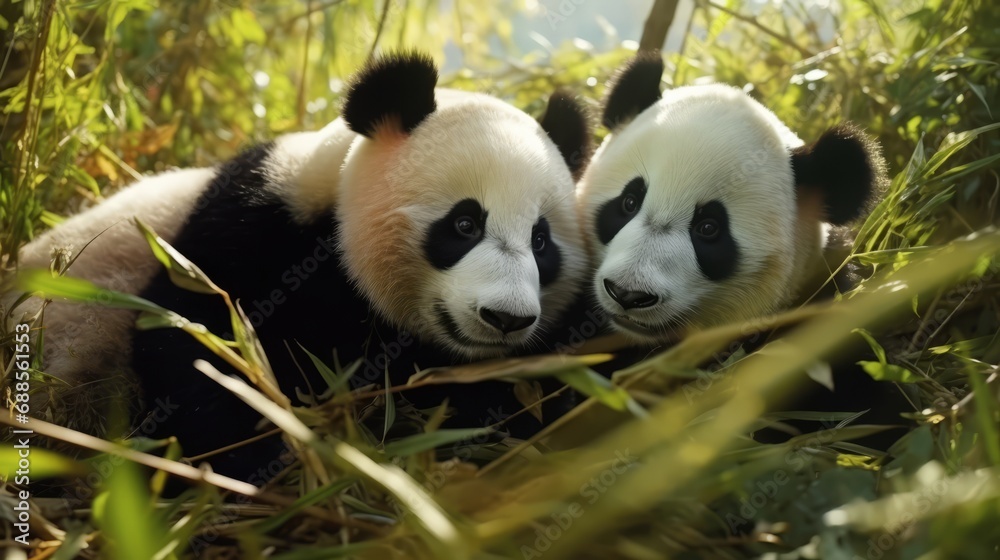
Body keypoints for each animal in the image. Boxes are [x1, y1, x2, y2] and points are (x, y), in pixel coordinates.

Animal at [9, 52, 592, 482]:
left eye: (541, 242)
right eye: (465, 224)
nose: (507, 318)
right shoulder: (252, 227)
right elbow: (193, 335)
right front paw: (248, 455)